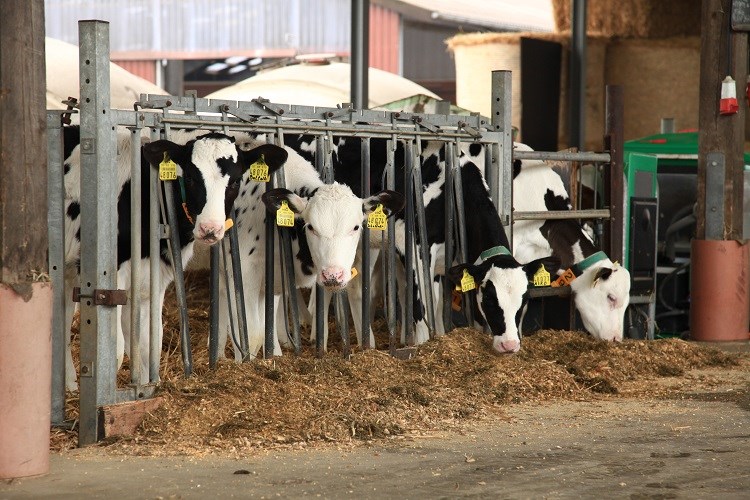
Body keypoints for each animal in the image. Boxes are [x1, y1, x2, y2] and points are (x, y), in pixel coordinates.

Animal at [63, 127, 288, 388]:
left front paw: (148, 386)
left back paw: (69, 385)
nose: (210, 229)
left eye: (234, 182)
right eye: (190, 178)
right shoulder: (108, 276)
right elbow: (116, 351)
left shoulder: (154, 275)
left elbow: (149, 343)